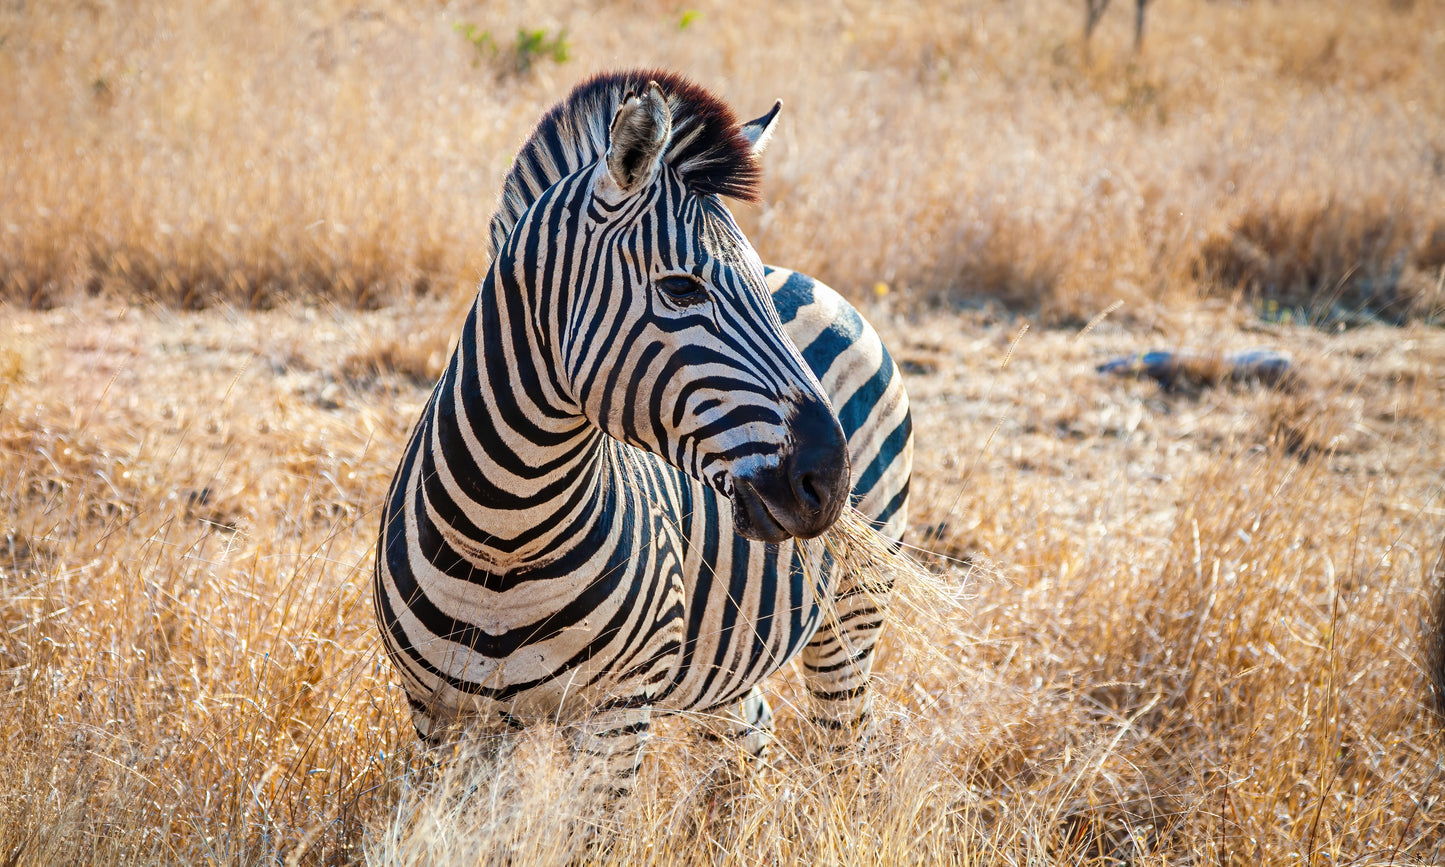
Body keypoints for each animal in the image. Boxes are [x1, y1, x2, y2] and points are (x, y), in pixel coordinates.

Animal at [373, 70, 912, 793]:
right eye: (682, 288)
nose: (830, 481)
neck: (505, 532)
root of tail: (806, 281)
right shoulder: (442, 721)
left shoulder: (617, 715)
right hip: (725, 649)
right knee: (752, 731)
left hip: (852, 611)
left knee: (845, 746)